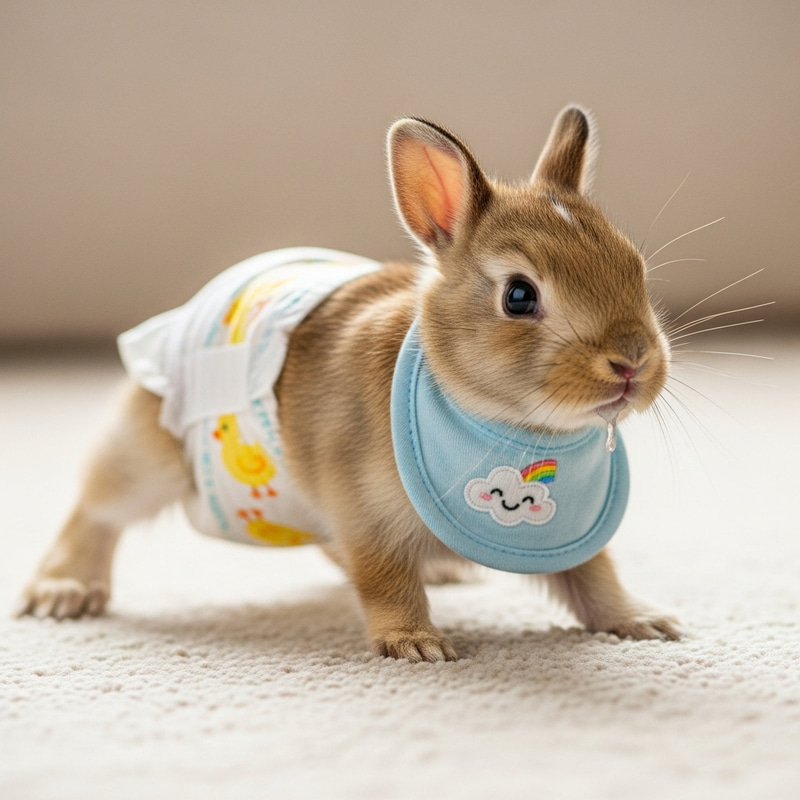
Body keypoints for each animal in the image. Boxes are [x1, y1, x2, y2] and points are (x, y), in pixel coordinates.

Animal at [17, 106, 680, 662]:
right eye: (519, 296)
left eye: (634, 267)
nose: (632, 362)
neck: (499, 421)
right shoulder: (362, 511)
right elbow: (383, 578)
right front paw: (416, 644)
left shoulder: (569, 539)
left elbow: (594, 579)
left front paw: (644, 621)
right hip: (153, 456)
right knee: (97, 510)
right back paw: (63, 591)